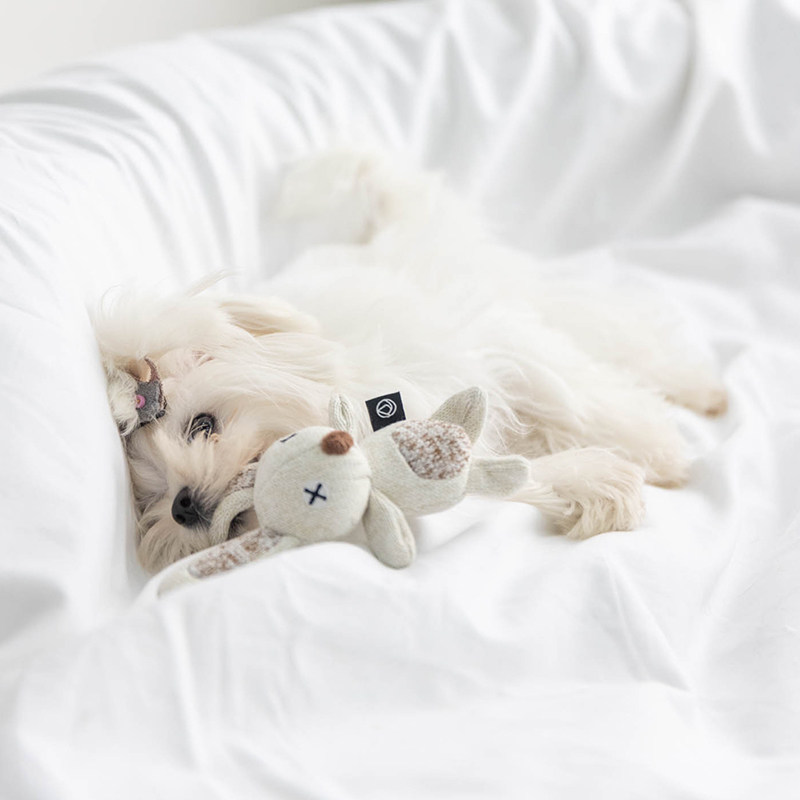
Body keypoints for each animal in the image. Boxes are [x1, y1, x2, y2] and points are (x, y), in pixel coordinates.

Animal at [94, 149, 727, 574]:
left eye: (202, 425)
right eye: (147, 497)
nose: (182, 506)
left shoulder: (492, 344)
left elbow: (574, 398)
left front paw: (653, 449)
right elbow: (497, 480)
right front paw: (595, 484)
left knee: (619, 338)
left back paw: (697, 389)